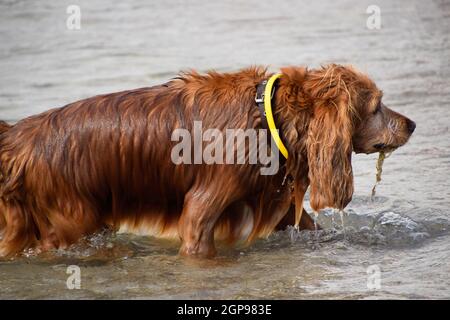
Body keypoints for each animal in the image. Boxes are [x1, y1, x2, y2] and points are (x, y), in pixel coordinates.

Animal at [0, 64, 414, 258]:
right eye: (377, 106)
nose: (412, 124)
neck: (268, 117)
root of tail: (17, 139)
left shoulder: (274, 203)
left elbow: (310, 226)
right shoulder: (201, 209)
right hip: (72, 223)